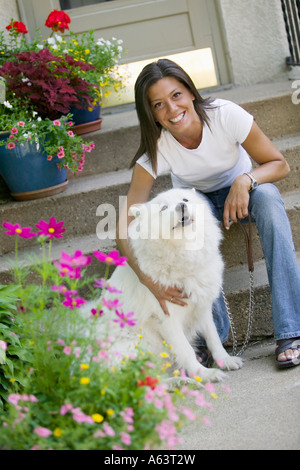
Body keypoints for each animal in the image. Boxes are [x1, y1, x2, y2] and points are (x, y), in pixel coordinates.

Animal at [97, 187, 243, 382]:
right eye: (164, 208)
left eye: (185, 199)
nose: (182, 206)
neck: (185, 251)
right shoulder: (168, 320)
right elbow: (186, 351)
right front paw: (204, 374)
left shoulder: (201, 307)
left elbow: (213, 338)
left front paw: (224, 360)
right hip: (134, 342)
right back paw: (179, 382)